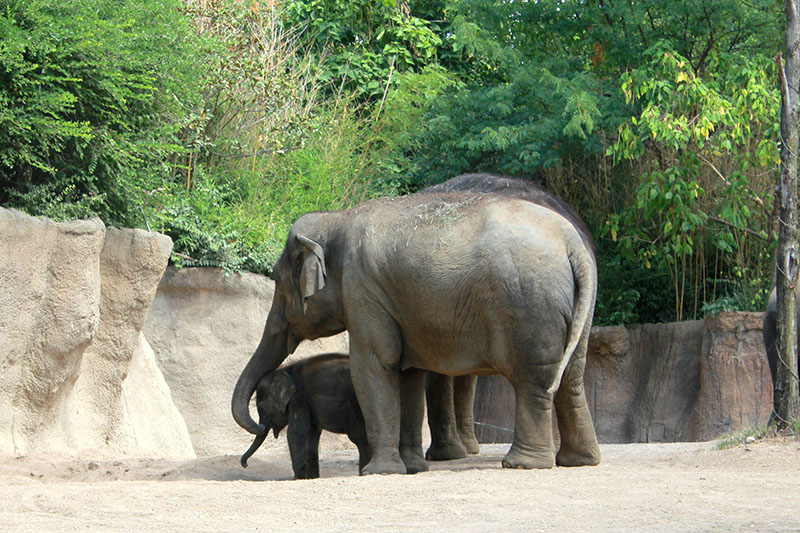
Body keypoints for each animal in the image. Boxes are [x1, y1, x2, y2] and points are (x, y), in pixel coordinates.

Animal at [239, 354, 370, 478]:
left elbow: (295, 433)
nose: (245, 464)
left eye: (261, 408)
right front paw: (311, 478)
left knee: (361, 440)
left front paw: (297, 478)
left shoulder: (298, 399)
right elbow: (311, 434)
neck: (287, 370)